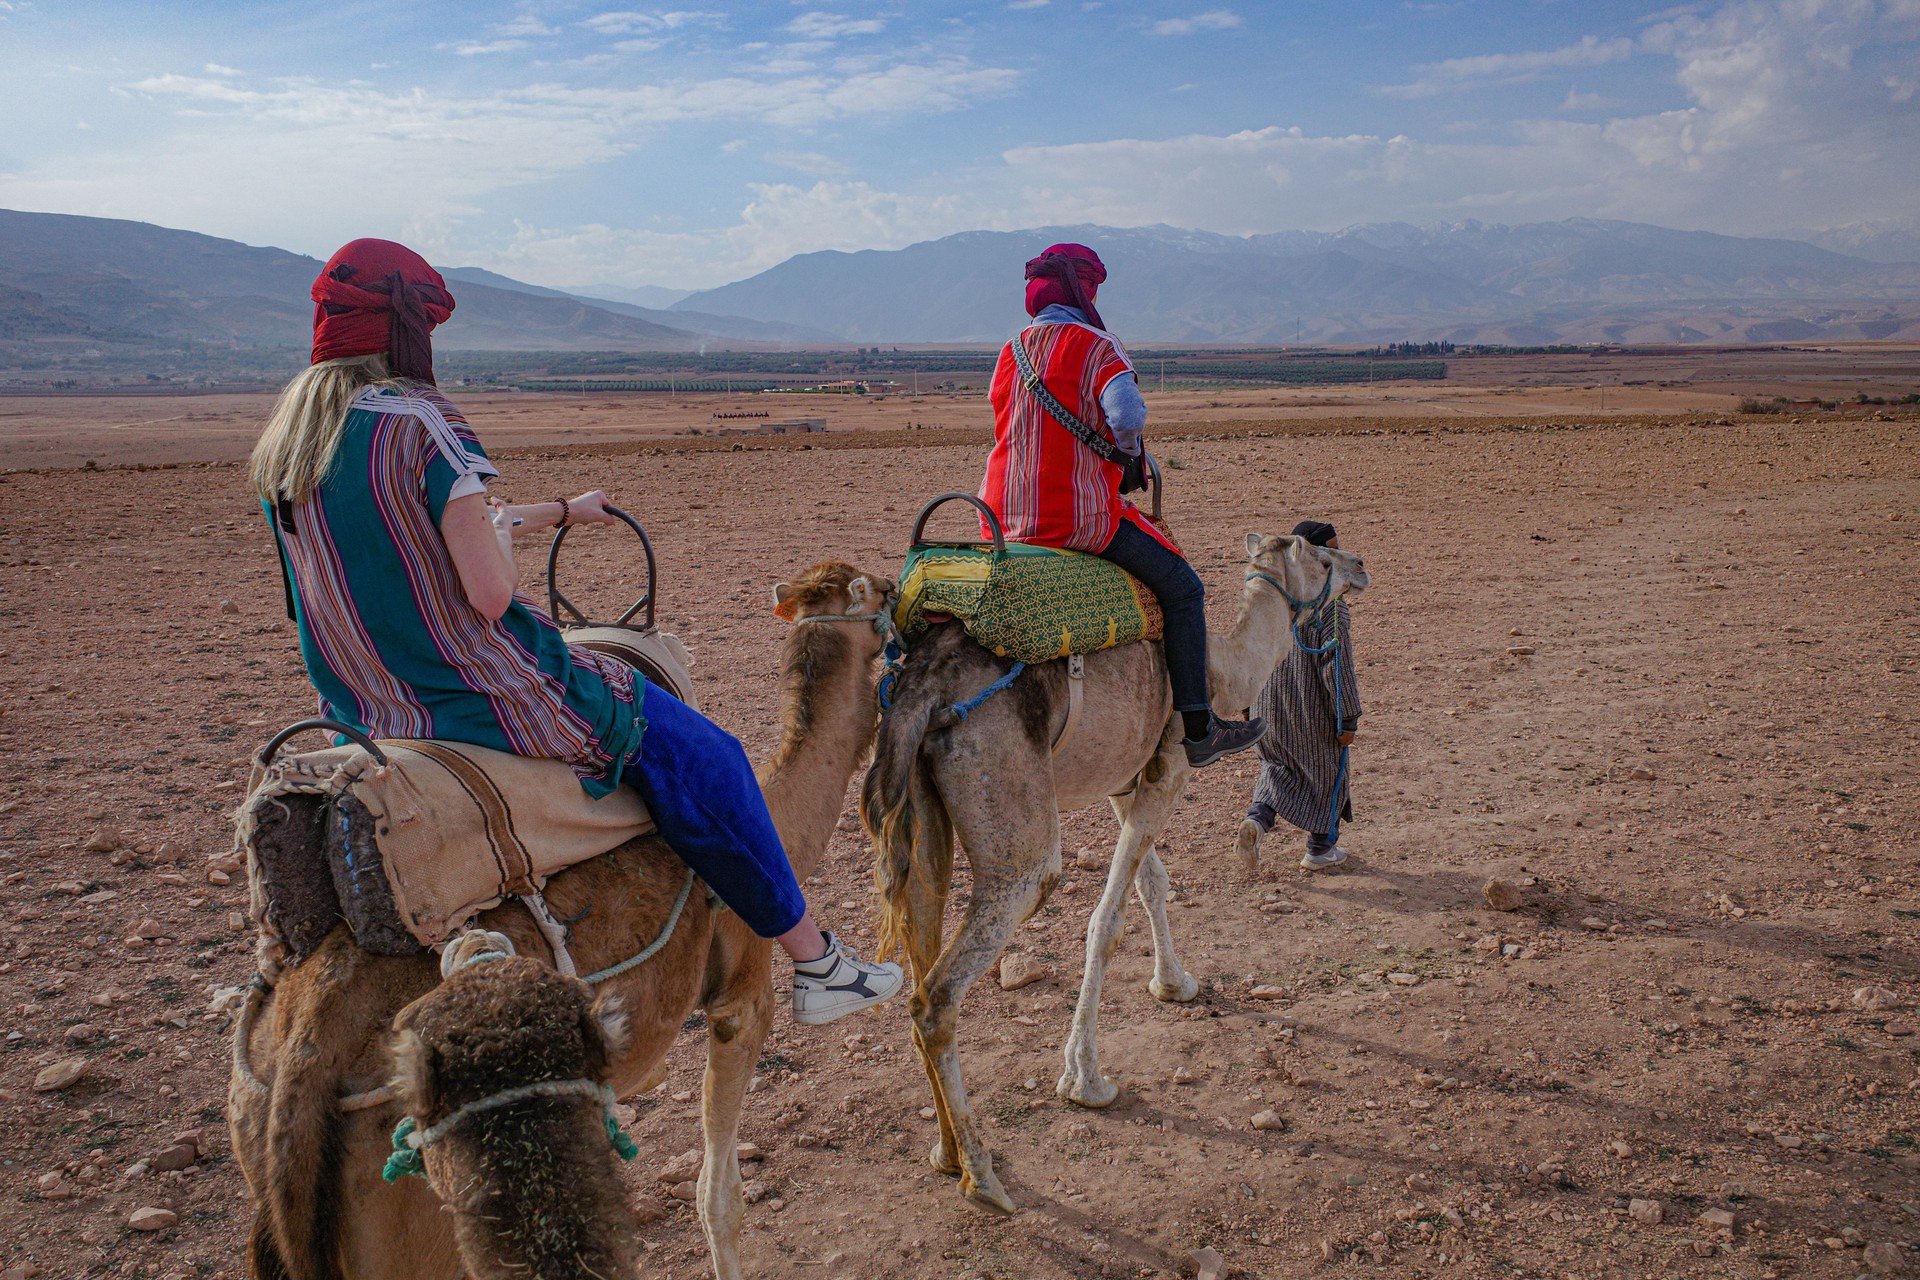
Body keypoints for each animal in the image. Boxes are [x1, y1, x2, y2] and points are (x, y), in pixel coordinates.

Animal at [236, 564, 894, 1280]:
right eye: (878, 590)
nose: (899, 592)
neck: (782, 815)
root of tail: (303, 1057)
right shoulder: (741, 999)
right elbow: (718, 1199)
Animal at [864, 529, 1374, 1212]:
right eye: (1321, 559)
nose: (1359, 565)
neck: (1223, 669)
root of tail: (922, 688)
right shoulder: (1169, 770)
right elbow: (1105, 920)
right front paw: (1085, 1079)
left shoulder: (1124, 780)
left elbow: (1153, 883)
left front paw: (1175, 983)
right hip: (1017, 829)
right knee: (942, 989)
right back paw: (983, 1175)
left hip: (919, 817)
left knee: (921, 936)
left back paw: (945, 1153)